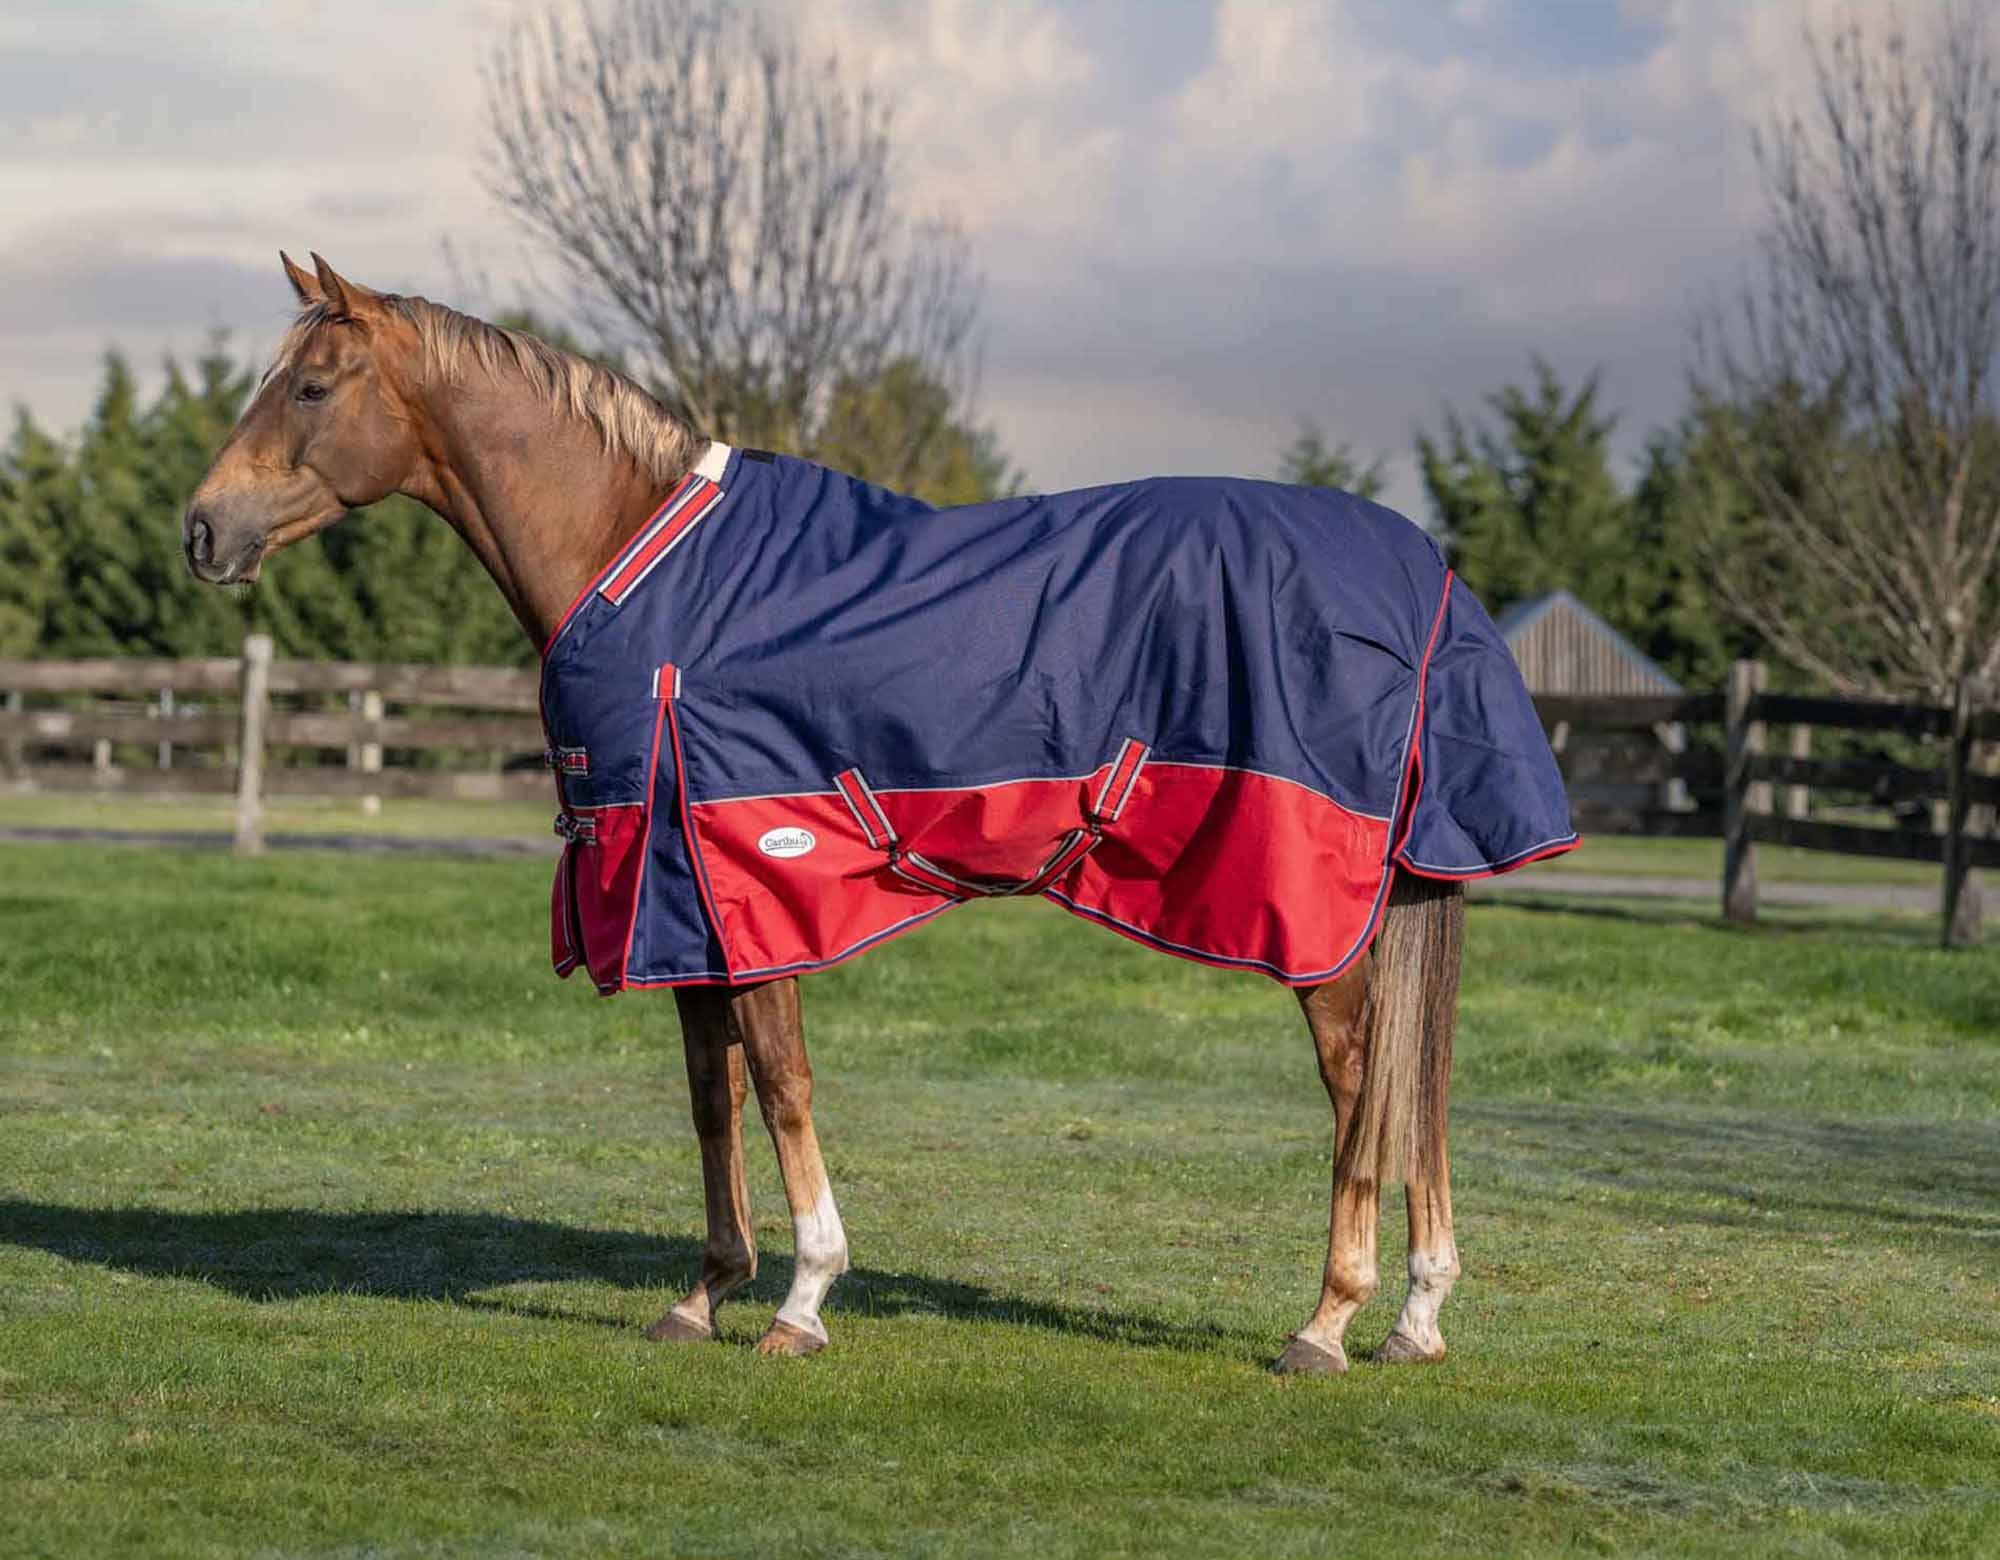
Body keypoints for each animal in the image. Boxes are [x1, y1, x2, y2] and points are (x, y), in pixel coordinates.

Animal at [183, 253, 1573, 1372]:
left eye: (310, 390)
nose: (202, 530)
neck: (650, 564)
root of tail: (1422, 576)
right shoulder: (681, 902)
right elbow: (712, 1096)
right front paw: (704, 1293)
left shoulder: (743, 879)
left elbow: (782, 1085)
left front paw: (801, 1298)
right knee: (1421, 1085)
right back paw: (1415, 1319)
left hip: (1306, 911)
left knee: (1361, 1086)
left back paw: (1327, 1321)